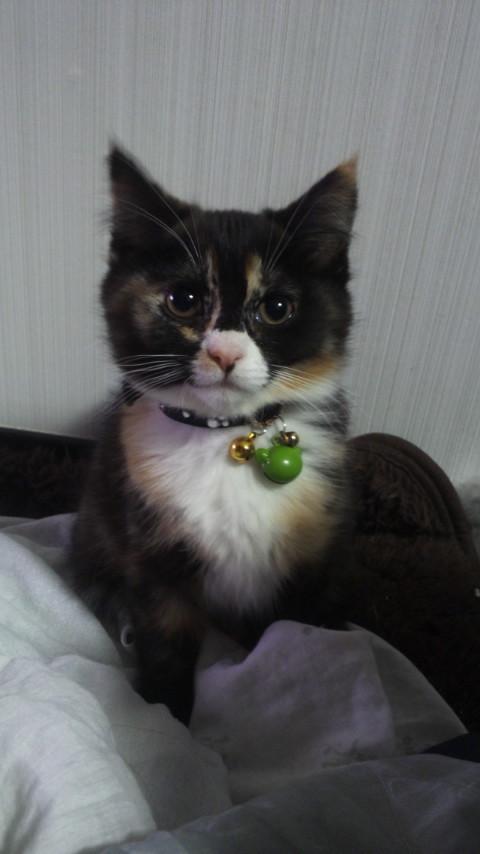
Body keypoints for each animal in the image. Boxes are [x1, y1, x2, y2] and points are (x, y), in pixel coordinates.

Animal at [71, 146, 357, 723]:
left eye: (276, 308)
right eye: (183, 300)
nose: (225, 353)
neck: (228, 438)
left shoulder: (315, 552)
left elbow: (301, 635)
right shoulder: (152, 554)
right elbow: (166, 639)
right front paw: (168, 722)